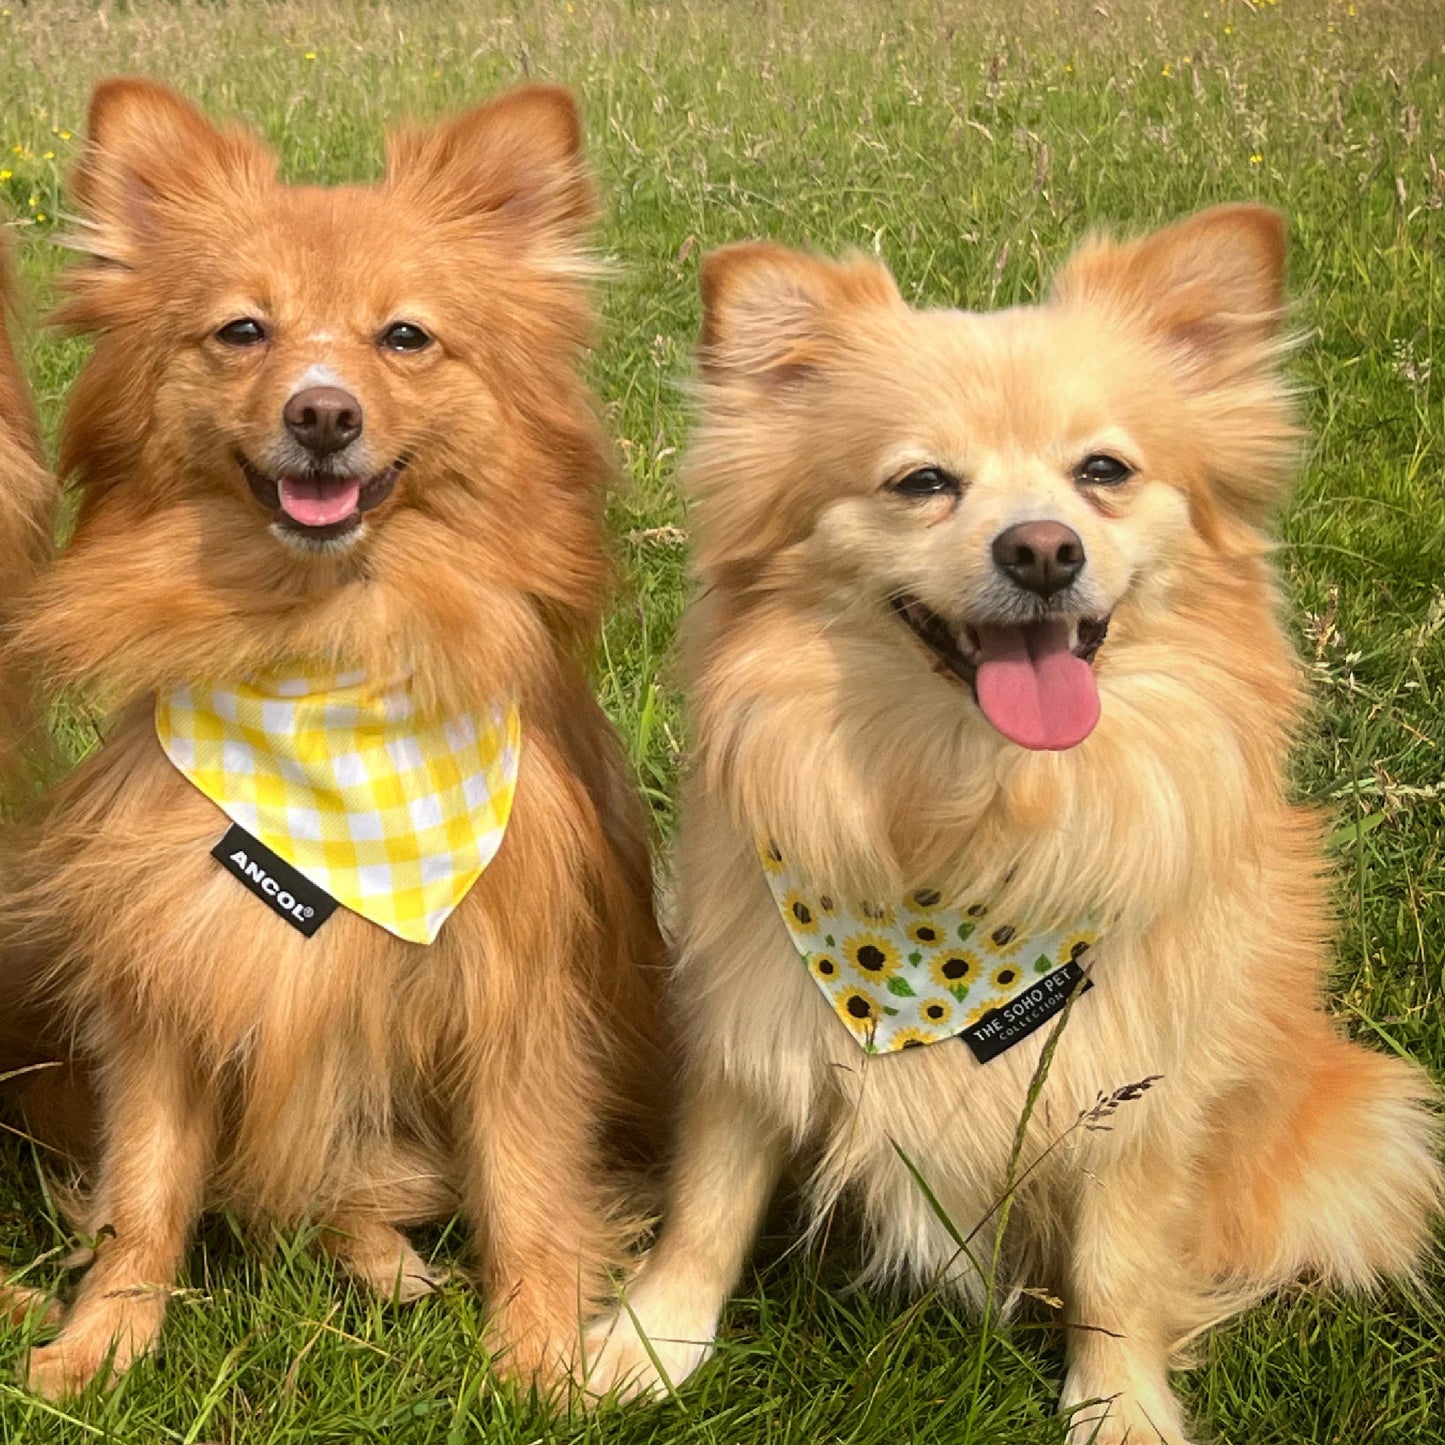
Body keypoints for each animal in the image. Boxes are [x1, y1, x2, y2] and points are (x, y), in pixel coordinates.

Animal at [0, 79, 664, 1398]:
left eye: (404, 337)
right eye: (241, 332)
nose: (321, 412)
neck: (324, 659)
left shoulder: (518, 997)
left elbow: (525, 1186)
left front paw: (532, 1362)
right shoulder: (166, 978)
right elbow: (144, 1192)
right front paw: (99, 1343)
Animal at [580, 206, 1439, 1445]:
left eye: (1103, 471)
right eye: (921, 481)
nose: (1041, 548)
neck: (976, 813)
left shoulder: (1139, 1082)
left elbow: (1118, 1261)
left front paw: (1118, 1404)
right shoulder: (749, 1021)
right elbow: (710, 1198)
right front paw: (652, 1342)